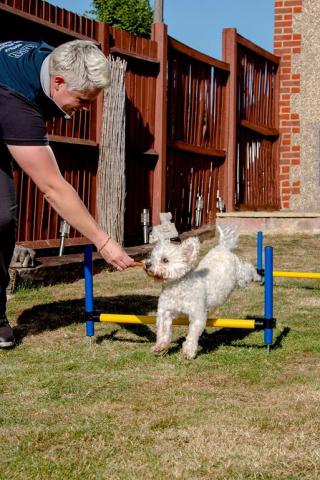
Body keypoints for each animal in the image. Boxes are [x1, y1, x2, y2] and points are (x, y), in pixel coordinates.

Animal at [144, 227, 260, 358]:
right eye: (152, 257)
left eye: (165, 260)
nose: (147, 264)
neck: (176, 287)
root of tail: (222, 247)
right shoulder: (165, 312)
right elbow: (163, 330)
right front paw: (160, 347)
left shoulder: (197, 314)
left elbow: (192, 334)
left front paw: (189, 351)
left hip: (241, 277)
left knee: (248, 269)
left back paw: (258, 276)